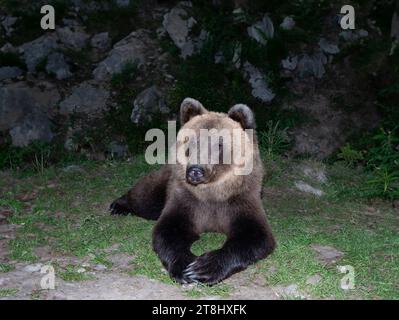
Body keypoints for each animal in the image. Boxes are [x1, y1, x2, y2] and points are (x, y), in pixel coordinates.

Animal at [111, 98, 276, 284]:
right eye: (191, 141)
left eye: (219, 144)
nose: (195, 170)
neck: (212, 192)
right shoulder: (187, 198)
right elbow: (169, 230)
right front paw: (185, 267)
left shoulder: (240, 199)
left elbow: (255, 235)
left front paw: (203, 268)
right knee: (147, 199)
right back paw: (118, 206)